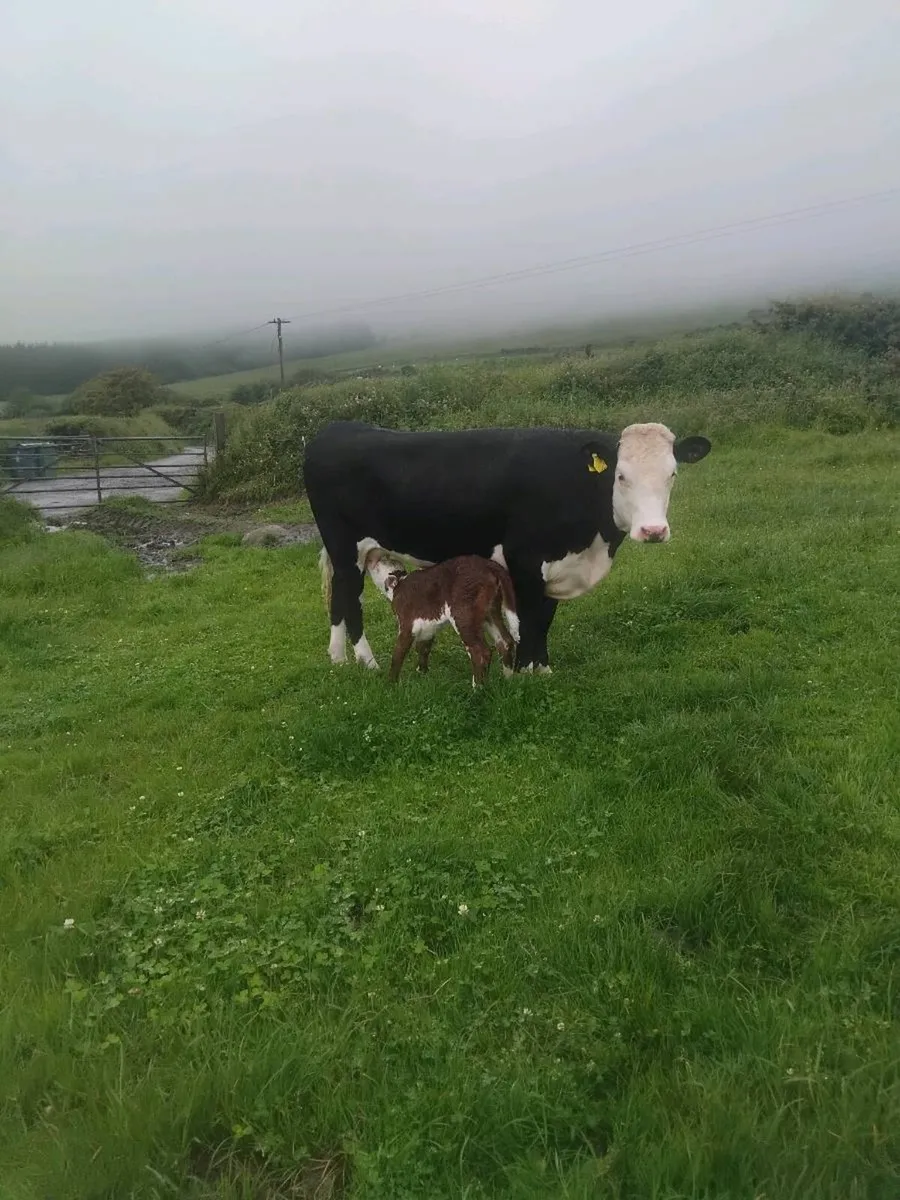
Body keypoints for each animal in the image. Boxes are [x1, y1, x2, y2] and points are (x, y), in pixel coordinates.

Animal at [365, 549, 520, 685]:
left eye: (380, 562)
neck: (399, 583)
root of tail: (489, 564)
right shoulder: (427, 626)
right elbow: (423, 648)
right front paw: (422, 674)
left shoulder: (406, 624)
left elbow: (398, 654)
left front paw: (390, 683)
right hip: (490, 611)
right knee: (505, 642)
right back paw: (507, 680)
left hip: (463, 613)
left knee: (480, 652)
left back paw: (478, 690)